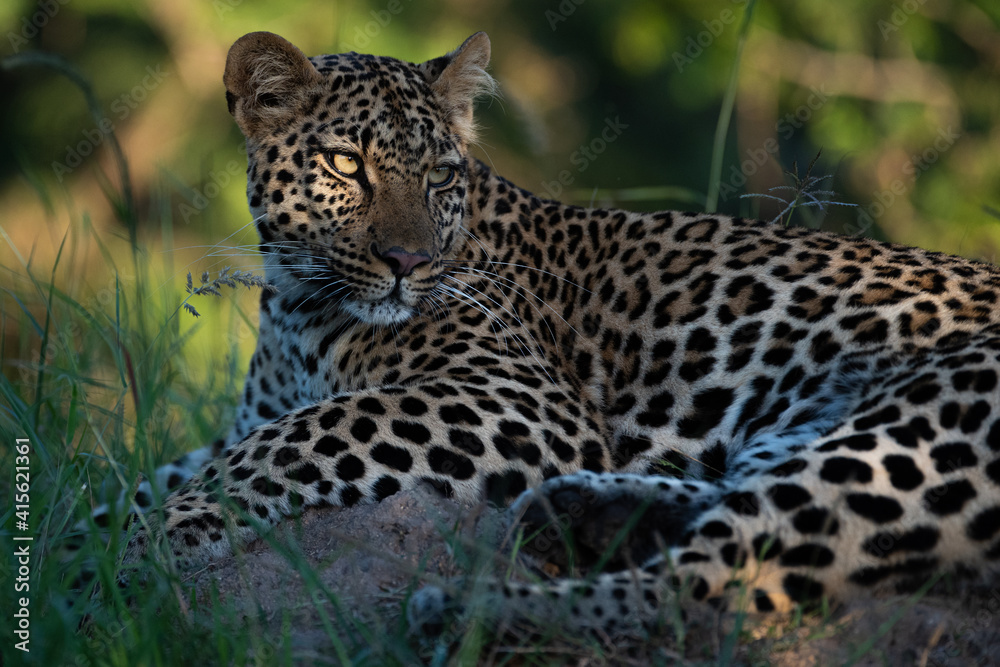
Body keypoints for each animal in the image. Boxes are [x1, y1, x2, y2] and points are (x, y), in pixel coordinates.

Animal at [99, 30, 1000, 639]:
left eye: (442, 176)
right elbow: (149, 467)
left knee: (709, 583)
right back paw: (581, 508)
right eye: (348, 166)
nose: (409, 262)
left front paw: (158, 536)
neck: (302, 302)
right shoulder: (247, 413)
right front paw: (92, 532)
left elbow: (303, 434)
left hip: (928, 414)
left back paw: (463, 607)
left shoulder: (514, 397)